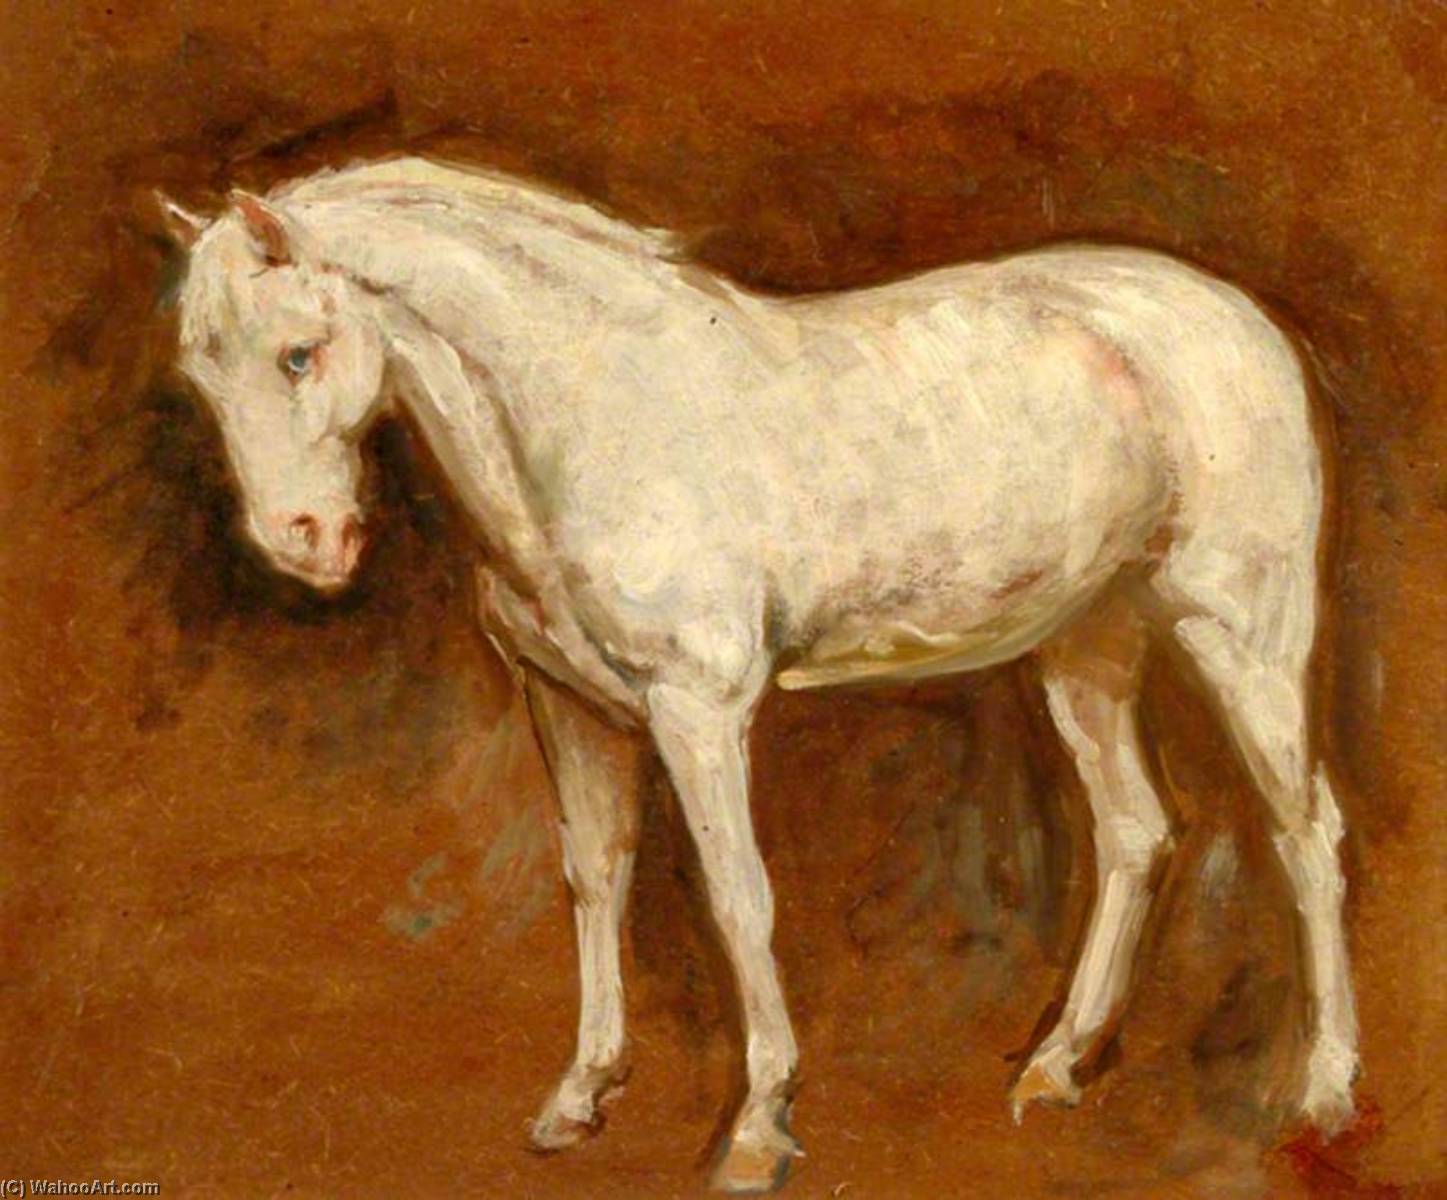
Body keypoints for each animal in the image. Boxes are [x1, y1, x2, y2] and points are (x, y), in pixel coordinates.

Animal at [157, 156, 1358, 1193]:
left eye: (298, 353)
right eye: (201, 369)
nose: (304, 544)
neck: (592, 411)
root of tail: (1232, 314)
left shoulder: (698, 712)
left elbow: (739, 899)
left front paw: (758, 1127)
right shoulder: (571, 709)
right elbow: (595, 878)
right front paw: (579, 1097)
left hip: (1239, 635)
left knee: (1304, 833)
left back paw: (1323, 1092)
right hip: (1087, 643)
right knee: (1134, 830)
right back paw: (1056, 1068)